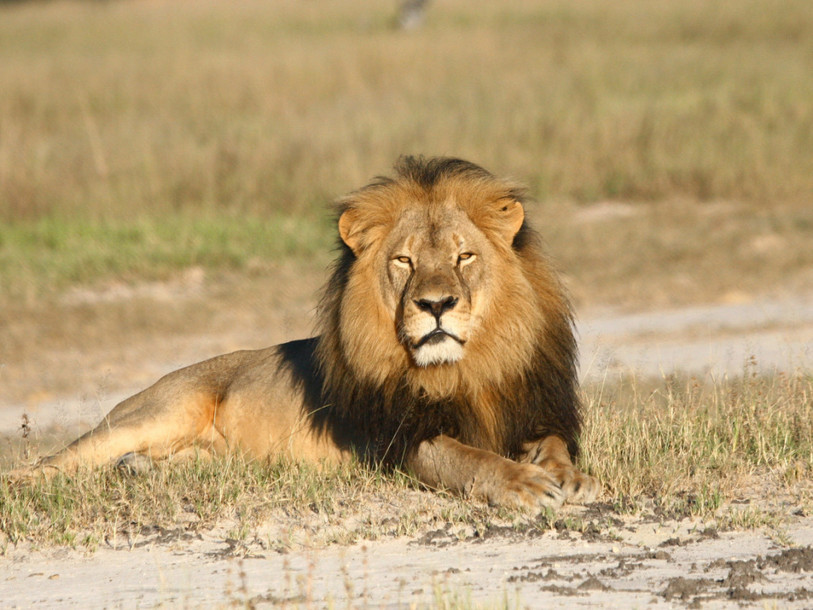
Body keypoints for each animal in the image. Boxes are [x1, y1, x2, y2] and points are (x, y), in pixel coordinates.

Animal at [11, 157, 598, 511]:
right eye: (405, 261)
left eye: (464, 256)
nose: (435, 305)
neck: (465, 369)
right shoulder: (400, 440)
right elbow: (469, 458)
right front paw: (524, 483)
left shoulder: (533, 408)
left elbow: (553, 443)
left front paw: (570, 477)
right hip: (156, 412)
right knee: (53, 462)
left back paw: (138, 473)